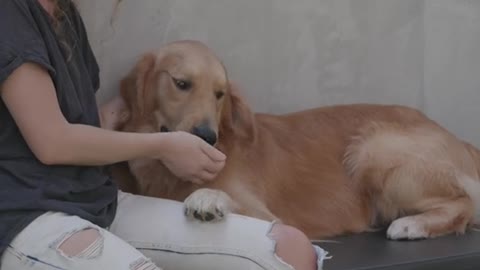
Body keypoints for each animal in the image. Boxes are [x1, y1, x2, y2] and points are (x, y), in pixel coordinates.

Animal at [110, 39, 480, 240]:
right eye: (181, 84)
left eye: (219, 94)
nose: (207, 137)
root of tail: (458, 139)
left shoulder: (269, 217)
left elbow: (222, 197)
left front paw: (208, 198)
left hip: (373, 150)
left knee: (463, 204)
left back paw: (412, 225)